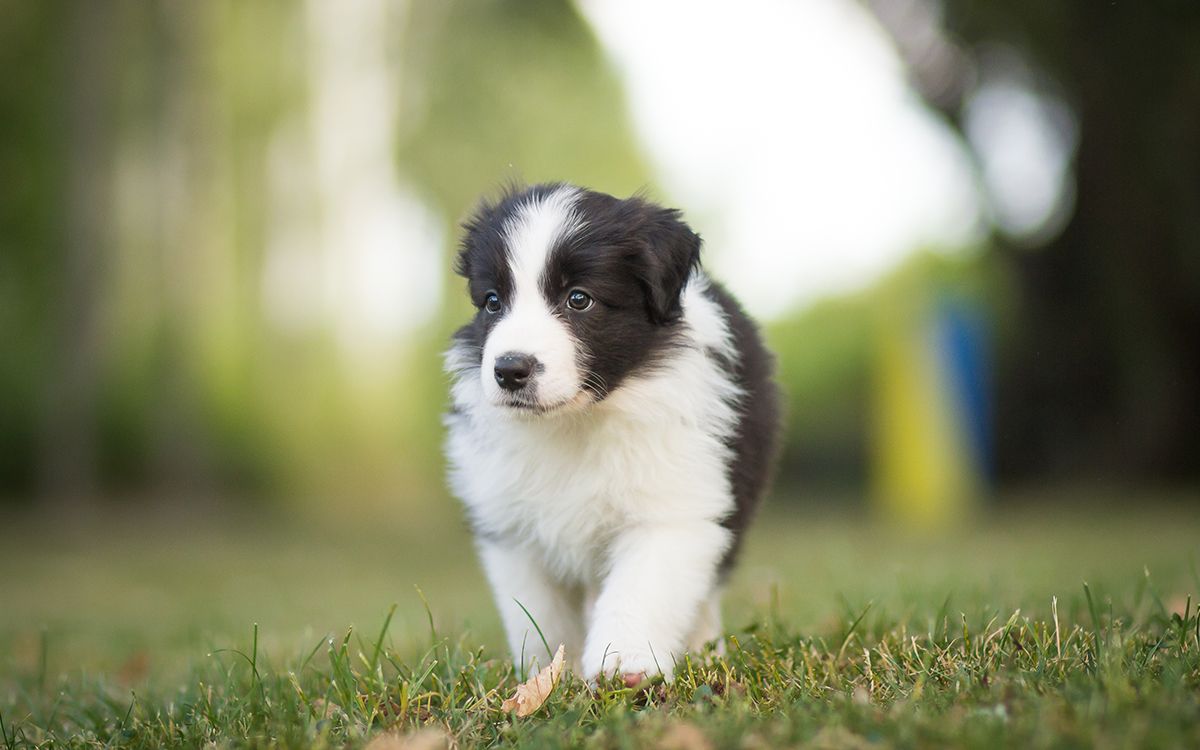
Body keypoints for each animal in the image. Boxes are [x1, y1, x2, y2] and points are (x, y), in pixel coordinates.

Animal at [446, 184, 782, 681]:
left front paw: (624, 665)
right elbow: (539, 614)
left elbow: (641, 589)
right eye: (492, 301)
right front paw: (548, 676)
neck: (575, 421)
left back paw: (705, 651)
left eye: (579, 299)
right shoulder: (512, 529)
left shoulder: (671, 507)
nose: (509, 370)